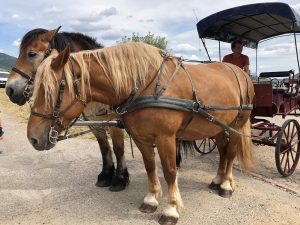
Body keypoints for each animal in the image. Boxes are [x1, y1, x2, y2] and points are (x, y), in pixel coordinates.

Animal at [5, 27, 128, 192]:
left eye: (31, 54)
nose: (9, 89)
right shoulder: (94, 124)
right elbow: (104, 147)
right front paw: (105, 175)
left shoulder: (114, 123)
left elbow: (118, 149)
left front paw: (120, 179)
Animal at [27, 42, 254, 225]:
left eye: (50, 91)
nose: (33, 138)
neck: (143, 85)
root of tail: (240, 73)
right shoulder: (141, 138)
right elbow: (150, 167)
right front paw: (151, 199)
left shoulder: (166, 138)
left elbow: (170, 171)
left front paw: (171, 209)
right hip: (217, 127)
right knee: (223, 152)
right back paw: (217, 180)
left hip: (237, 125)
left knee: (231, 153)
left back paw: (226, 185)